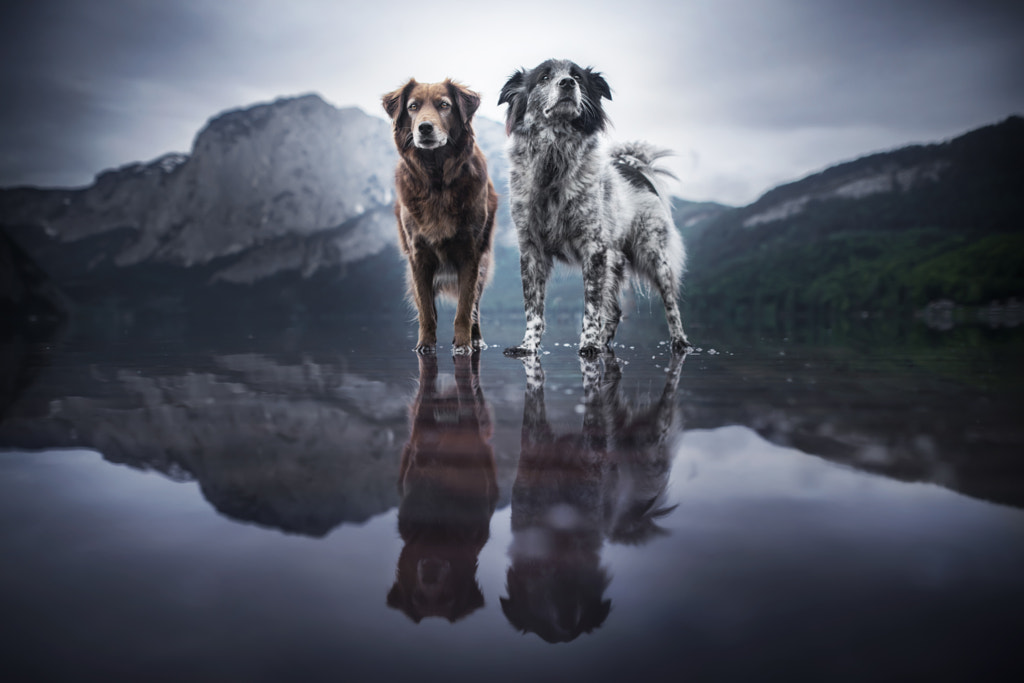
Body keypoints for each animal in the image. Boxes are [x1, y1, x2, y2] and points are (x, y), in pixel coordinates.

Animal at [382, 79, 497, 356]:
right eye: (413, 107)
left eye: (444, 105)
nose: (424, 128)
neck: (437, 181)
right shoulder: (418, 256)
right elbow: (426, 310)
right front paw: (425, 345)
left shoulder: (470, 254)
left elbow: (465, 308)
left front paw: (464, 345)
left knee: (475, 306)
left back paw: (476, 340)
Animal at [495, 58, 688, 358]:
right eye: (544, 77)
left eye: (577, 77)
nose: (566, 84)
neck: (554, 162)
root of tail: (636, 169)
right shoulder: (531, 250)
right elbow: (533, 307)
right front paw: (528, 345)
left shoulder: (593, 249)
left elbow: (591, 304)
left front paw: (588, 343)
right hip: (616, 261)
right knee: (616, 310)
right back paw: (605, 342)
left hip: (654, 255)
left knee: (671, 304)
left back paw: (679, 341)